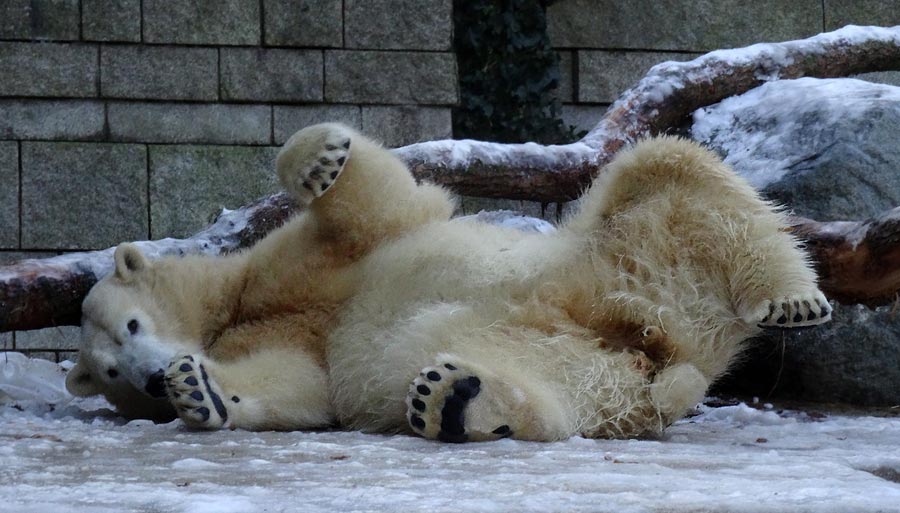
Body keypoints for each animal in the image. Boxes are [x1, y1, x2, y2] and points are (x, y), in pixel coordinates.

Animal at [67, 123, 832, 440]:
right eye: (111, 373)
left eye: (131, 326)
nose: (151, 377)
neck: (230, 307)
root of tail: (669, 347)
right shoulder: (296, 336)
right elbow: (295, 383)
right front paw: (199, 392)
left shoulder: (297, 265)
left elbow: (378, 203)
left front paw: (322, 158)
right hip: (585, 358)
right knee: (546, 384)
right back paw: (458, 400)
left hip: (629, 254)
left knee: (670, 169)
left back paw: (789, 294)